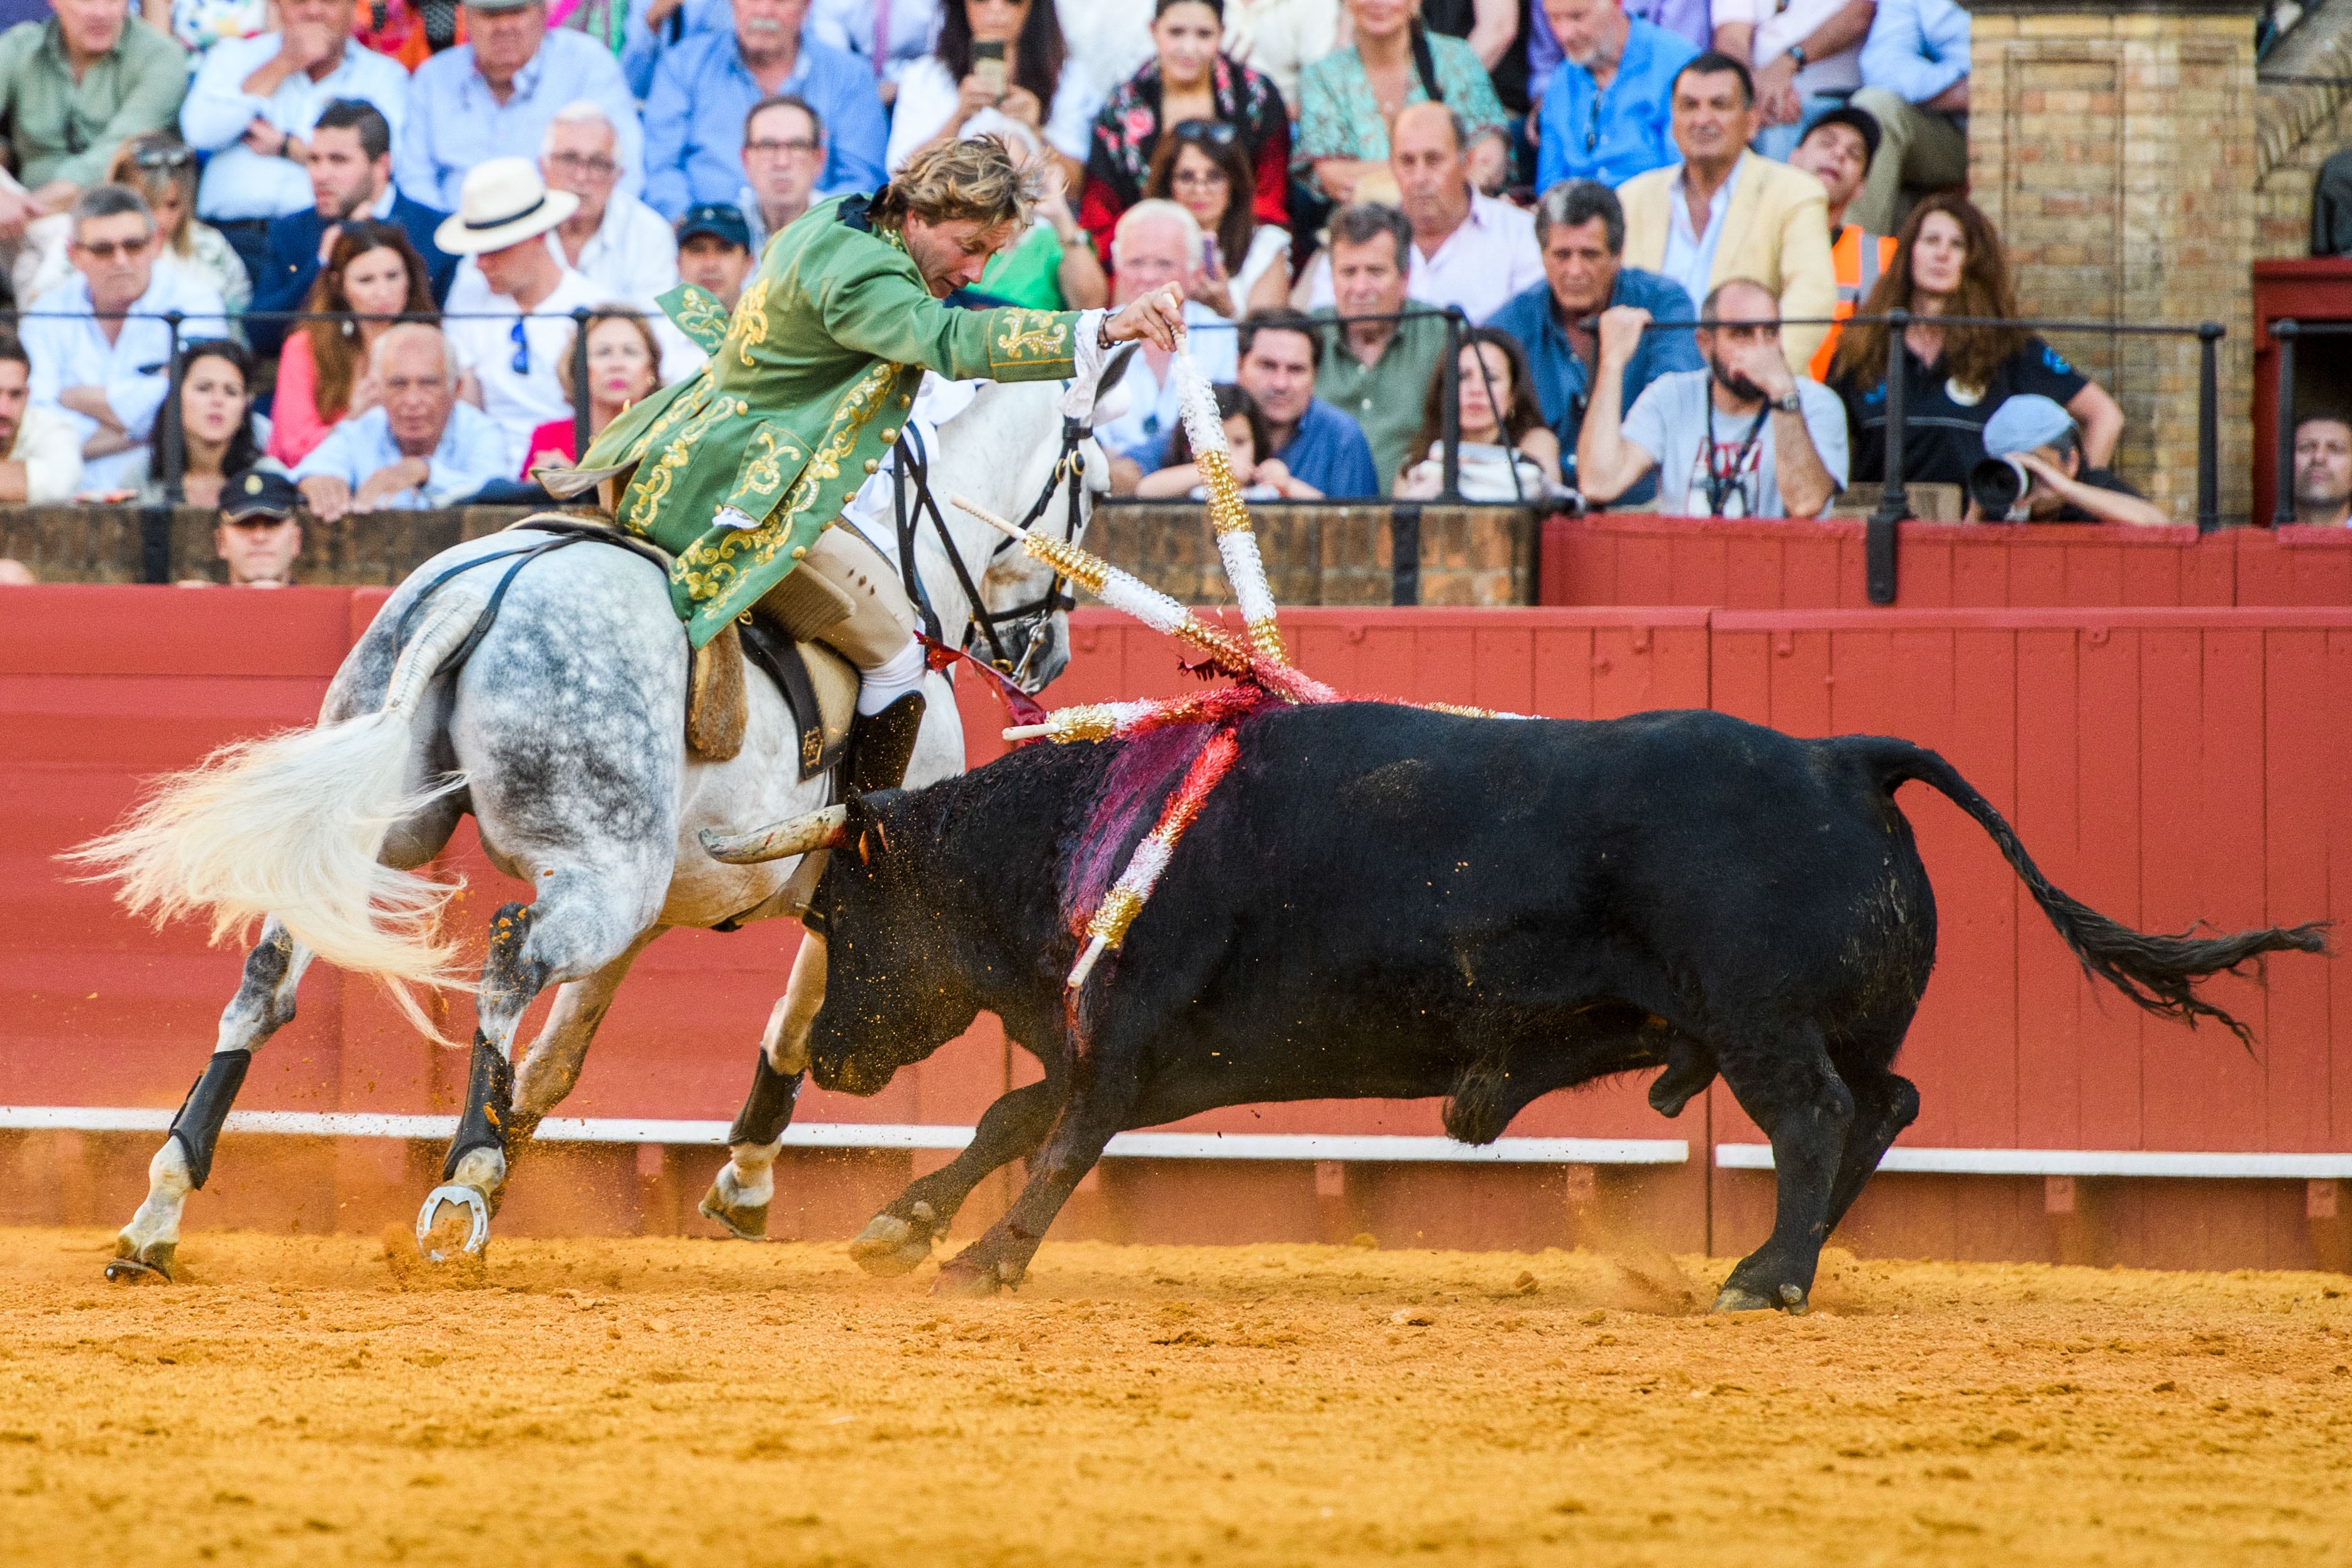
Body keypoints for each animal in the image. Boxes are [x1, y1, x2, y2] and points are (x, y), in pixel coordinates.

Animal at [785, 705, 2314, 1306]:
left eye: (837, 919)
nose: (824, 1060)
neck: (1086, 824)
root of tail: (1841, 756)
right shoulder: (1128, 1048)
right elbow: (1010, 1112)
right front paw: (893, 1226)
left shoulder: (1129, 1038)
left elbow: (1057, 1137)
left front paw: (984, 1259)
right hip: (1837, 1022)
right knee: (1887, 1103)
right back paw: (1789, 1260)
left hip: (1761, 1025)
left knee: (1818, 1117)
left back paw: (1762, 1274)